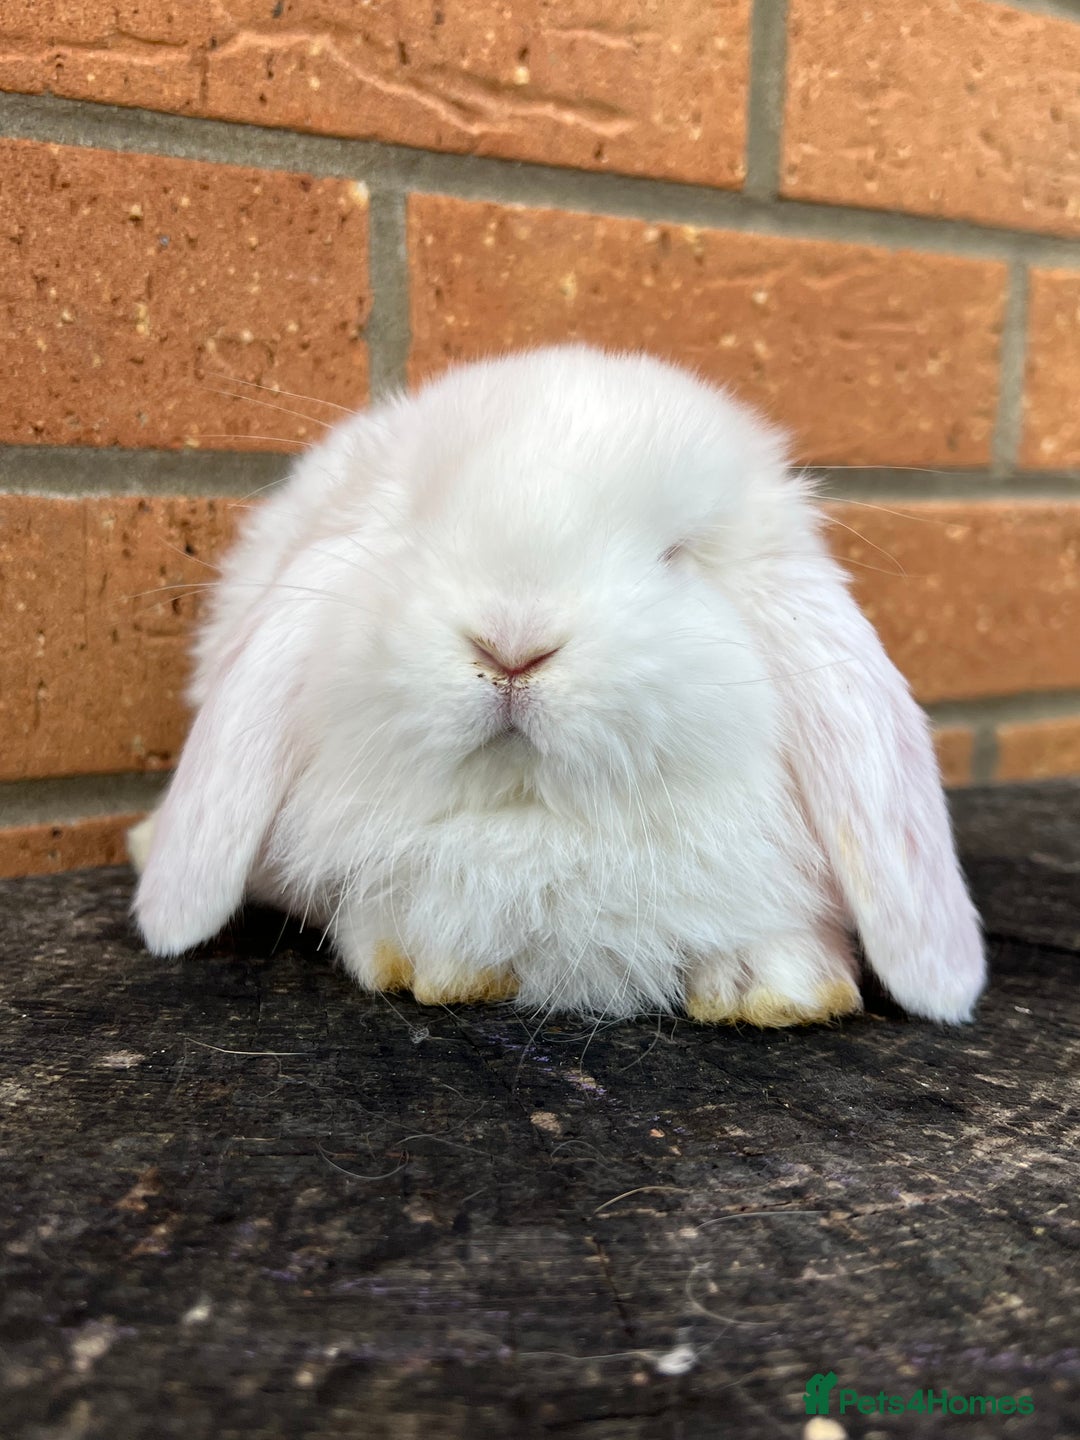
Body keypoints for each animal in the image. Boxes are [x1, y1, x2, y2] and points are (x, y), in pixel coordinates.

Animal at [132, 344, 985, 1027]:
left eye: (677, 555)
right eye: (414, 531)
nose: (511, 645)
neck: (537, 819)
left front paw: (775, 988)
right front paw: (436, 963)